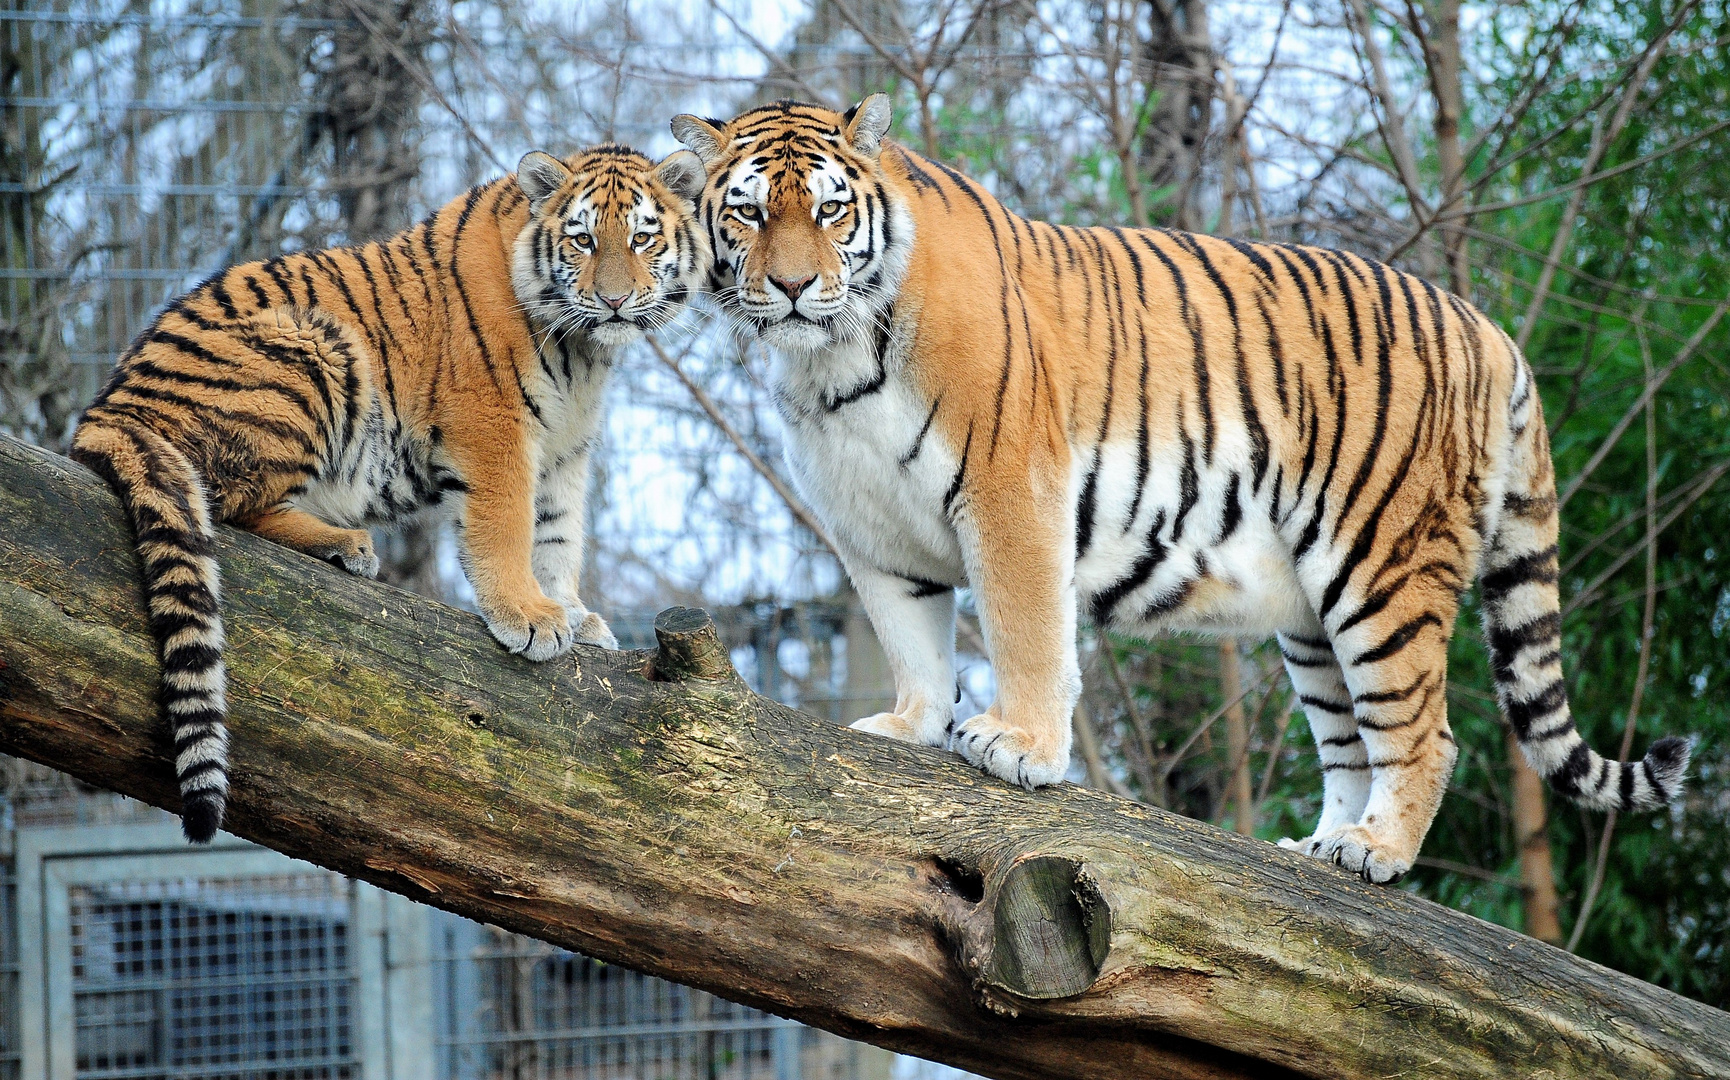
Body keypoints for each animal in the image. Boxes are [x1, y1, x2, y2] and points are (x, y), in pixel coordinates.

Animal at [69, 141, 709, 844]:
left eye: (642, 238)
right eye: (583, 239)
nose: (616, 301)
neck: (583, 351)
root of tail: (108, 407)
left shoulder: (566, 448)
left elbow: (558, 534)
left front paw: (571, 611)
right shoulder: (492, 423)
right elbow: (507, 523)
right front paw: (528, 616)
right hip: (313, 344)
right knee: (229, 503)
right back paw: (342, 543)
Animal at [674, 94, 1688, 886]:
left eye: (832, 211)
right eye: (749, 214)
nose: (793, 286)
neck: (830, 362)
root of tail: (1492, 330)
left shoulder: (1009, 489)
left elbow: (1023, 629)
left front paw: (1020, 747)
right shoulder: (870, 528)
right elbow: (914, 640)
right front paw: (911, 727)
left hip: (1380, 564)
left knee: (1424, 732)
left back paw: (1376, 851)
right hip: (1309, 612)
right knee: (1350, 737)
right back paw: (1319, 848)